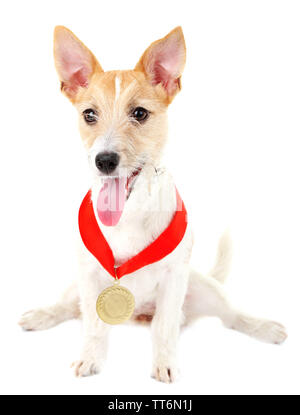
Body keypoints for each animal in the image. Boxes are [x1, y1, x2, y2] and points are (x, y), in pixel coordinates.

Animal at [19, 26, 288, 384]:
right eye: (89, 114)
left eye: (140, 114)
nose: (104, 161)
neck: (129, 214)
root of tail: (138, 314)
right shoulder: (89, 276)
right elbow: (93, 325)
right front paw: (90, 358)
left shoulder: (174, 279)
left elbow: (165, 326)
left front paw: (165, 363)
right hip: (76, 285)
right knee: (69, 307)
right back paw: (41, 314)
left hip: (202, 288)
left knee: (230, 315)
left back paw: (264, 327)